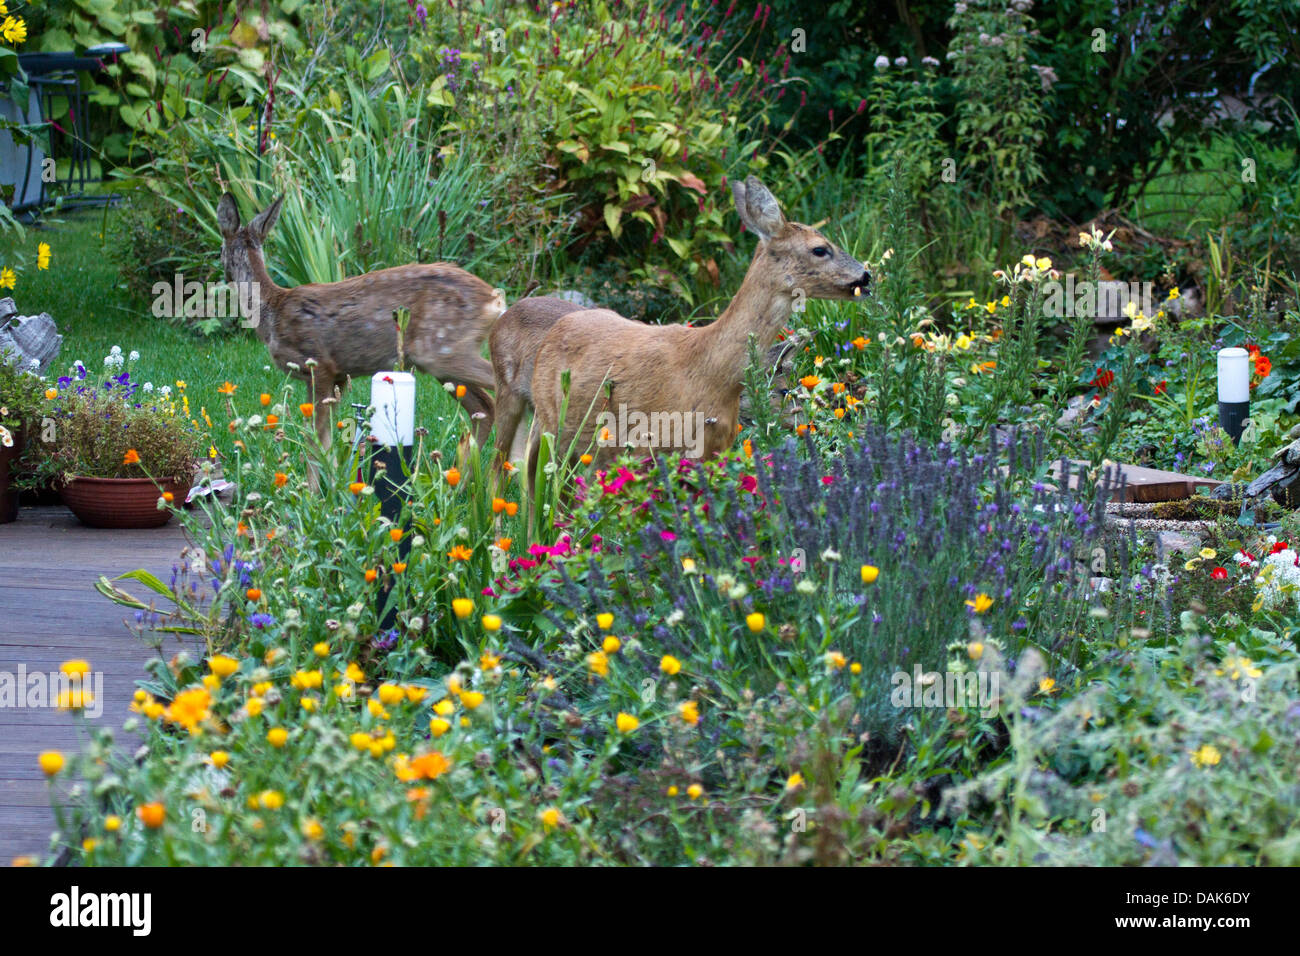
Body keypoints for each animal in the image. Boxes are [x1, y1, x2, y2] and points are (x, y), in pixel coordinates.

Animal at [218, 195, 501, 452]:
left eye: (220, 249)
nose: (223, 274)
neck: (271, 311)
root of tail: (494, 300)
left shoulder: (319, 365)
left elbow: (316, 441)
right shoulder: (339, 377)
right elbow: (325, 440)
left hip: (442, 351)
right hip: (442, 365)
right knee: (485, 408)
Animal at [527, 174, 873, 478]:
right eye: (820, 248)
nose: (867, 276)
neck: (710, 372)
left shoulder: (714, 447)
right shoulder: (651, 444)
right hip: (553, 427)